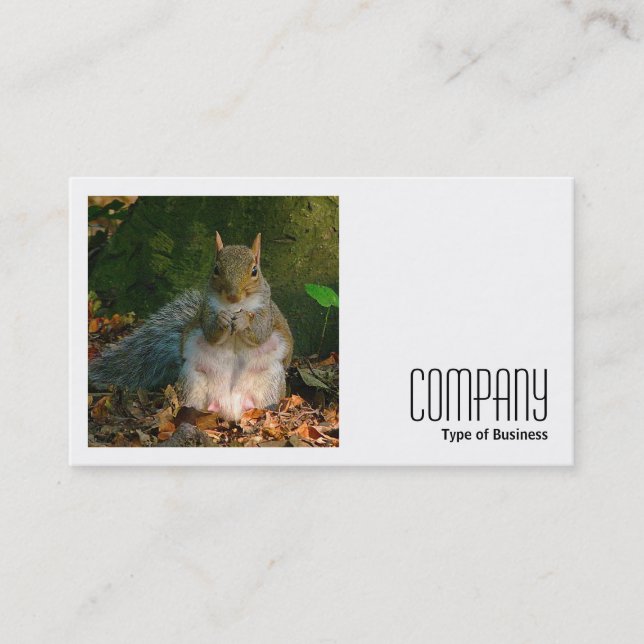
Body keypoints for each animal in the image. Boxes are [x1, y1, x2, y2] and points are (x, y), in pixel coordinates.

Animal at [89, 232, 293, 421]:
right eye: (216, 269)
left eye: (254, 271)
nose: (233, 295)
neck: (234, 306)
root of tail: (230, 408)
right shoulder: (206, 310)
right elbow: (211, 331)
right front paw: (222, 319)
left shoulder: (267, 312)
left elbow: (261, 332)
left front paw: (244, 320)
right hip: (192, 379)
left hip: (269, 381)